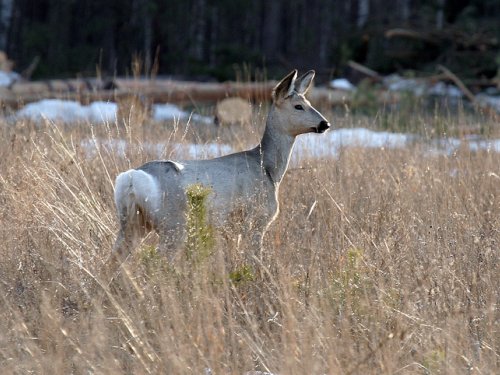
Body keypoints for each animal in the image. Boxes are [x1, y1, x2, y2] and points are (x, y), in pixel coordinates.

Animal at [111, 70, 330, 264]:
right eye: (298, 106)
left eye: (309, 103)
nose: (325, 123)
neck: (269, 170)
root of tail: (132, 178)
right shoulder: (256, 218)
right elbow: (254, 260)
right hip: (172, 222)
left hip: (132, 222)